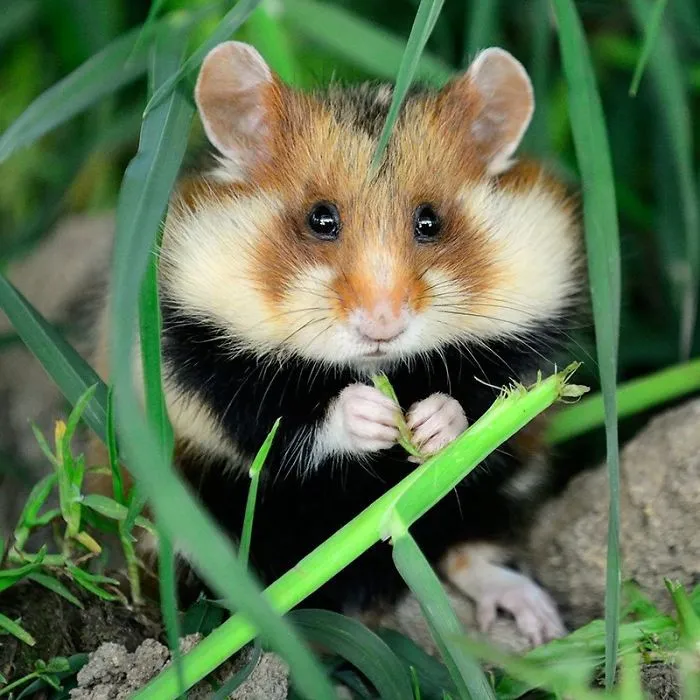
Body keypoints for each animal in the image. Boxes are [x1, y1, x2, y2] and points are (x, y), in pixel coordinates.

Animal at [90, 41, 584, 647]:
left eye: (430, 221)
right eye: (320, 219)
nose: (382, 326)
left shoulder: (524, 345)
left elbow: (485, 403)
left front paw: (430, 423)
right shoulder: (204, 363)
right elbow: (278, 428)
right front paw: (372, 414)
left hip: (493, 494)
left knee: (465, 548)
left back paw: (540, 622)